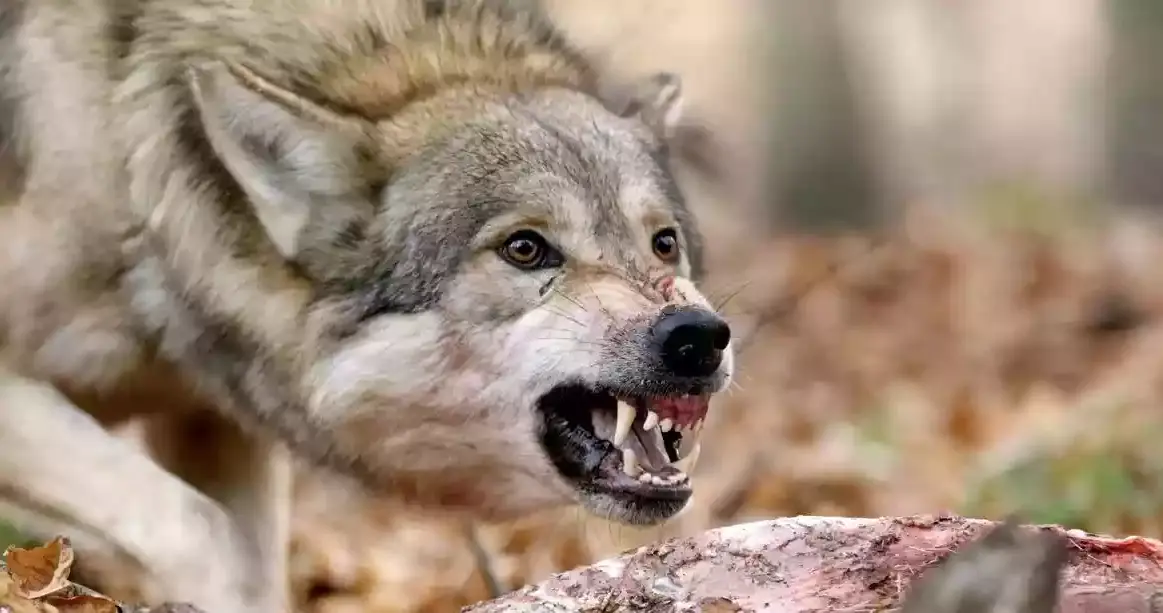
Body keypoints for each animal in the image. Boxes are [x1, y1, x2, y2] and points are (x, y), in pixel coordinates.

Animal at [0, 0, 735, 611]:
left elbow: (252, 572)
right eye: (525, 248)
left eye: (663, 243)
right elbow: (201, 533)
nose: (697, 336)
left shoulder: (219, 425)